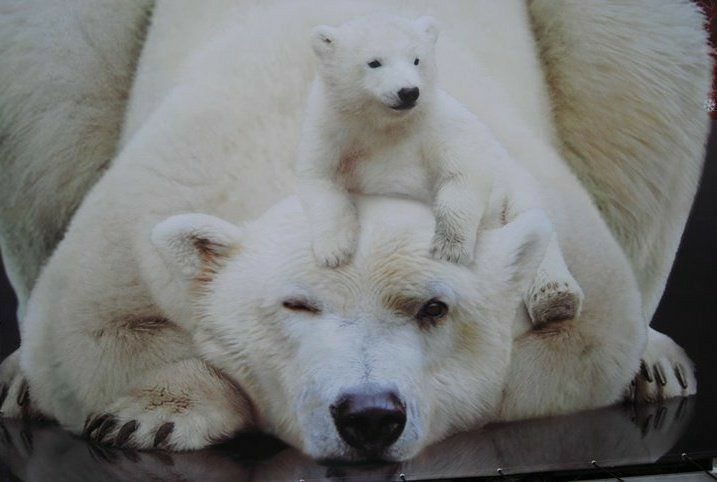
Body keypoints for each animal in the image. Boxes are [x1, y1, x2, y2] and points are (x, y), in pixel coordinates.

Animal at [296, 14, 584, 326]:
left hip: (515, 184)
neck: (384, 128)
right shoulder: (330, 130)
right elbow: (319, 180)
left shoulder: (436, 125)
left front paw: (449, 249)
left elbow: (465, 169)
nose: (409, 92)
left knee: (533, 226)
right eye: (374, 62)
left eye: (416, 59)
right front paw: (334, 252)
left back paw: (554, 298)